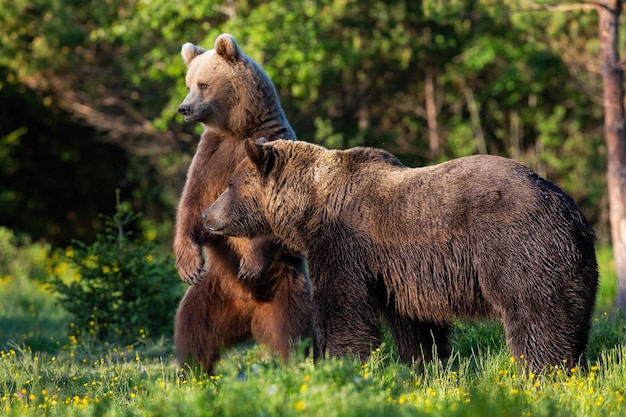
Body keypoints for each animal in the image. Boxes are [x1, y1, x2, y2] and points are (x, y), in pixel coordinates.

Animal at [173, 35, 312, 370]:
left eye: (203, 84)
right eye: (188, 83)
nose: (184, 108)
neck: (237, 130)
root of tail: (247, 315)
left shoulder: (268, 148)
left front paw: (249, 263)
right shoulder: (211, 158)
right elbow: (192, 206)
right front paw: (188, 265)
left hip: (284, 288)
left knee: (294, 333)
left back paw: (299, 365)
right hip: (211, 294)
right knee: (191, 332)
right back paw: (192, 373)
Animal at [202, 138, 596, 372]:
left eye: (231, 185)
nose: (207, 215)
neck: (311, 208)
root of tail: (571, 210)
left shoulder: (346, 244)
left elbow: (343, 308)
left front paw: (339, 363)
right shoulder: (399, 271)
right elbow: (413, 322)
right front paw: (424, 366)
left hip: (518, 250)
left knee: (535, 315)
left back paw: (541, 369)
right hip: (572, 267)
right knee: (570, 317)